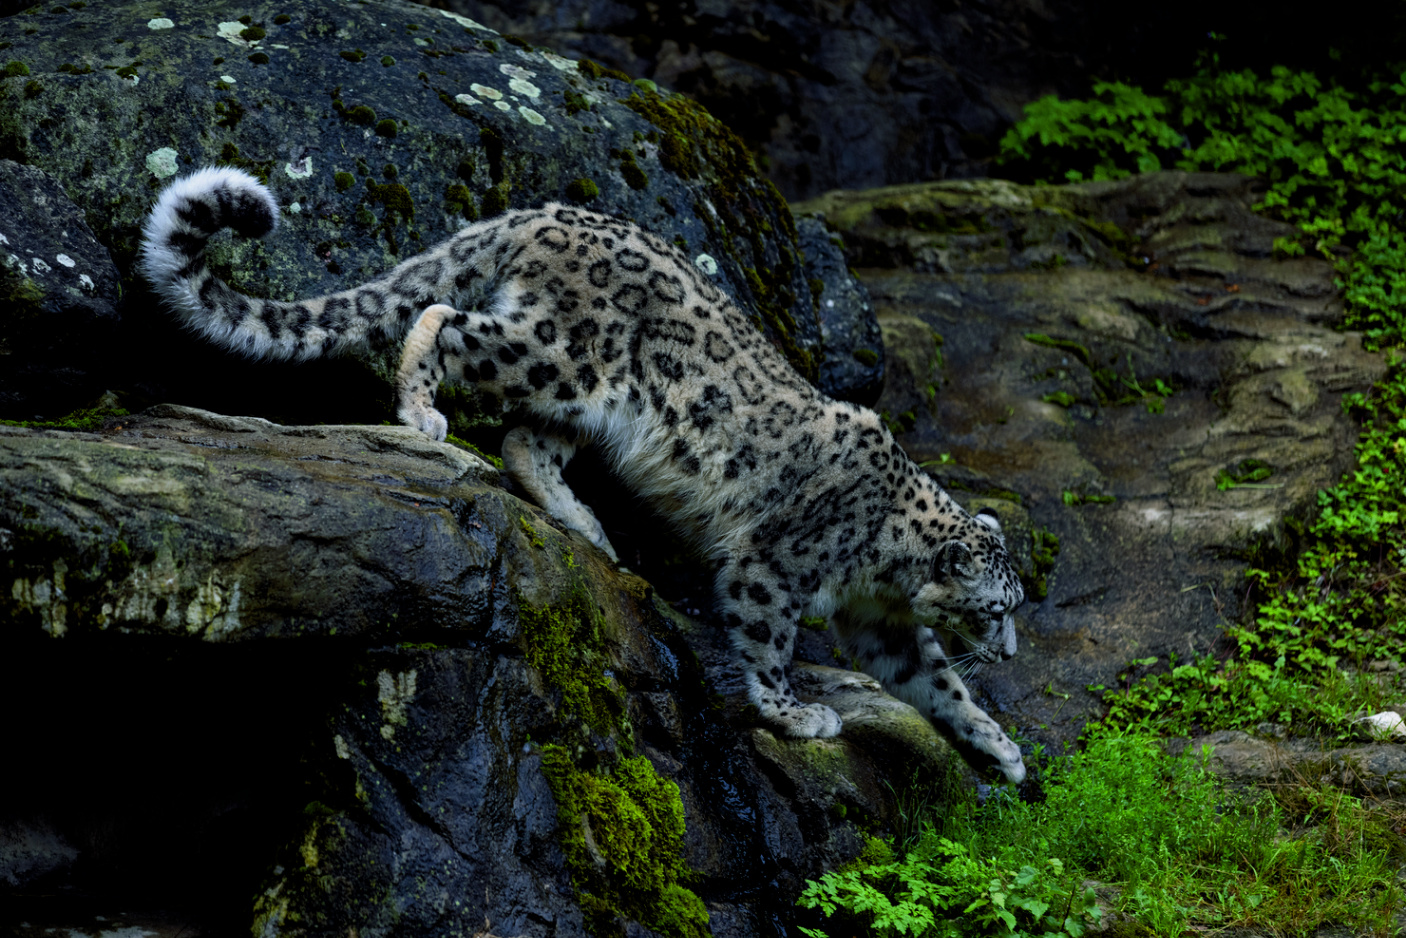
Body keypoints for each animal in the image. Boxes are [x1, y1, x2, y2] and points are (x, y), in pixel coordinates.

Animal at [139, 165, 1028, 783]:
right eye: (993, 611)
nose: (1013, 653)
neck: (886, 567)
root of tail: (541, 213)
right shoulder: (773, 567)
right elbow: (768, 639)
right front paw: (794, 714)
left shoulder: (884, 623)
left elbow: (934, 681)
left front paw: (1000, 747)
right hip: (562, 355)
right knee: (445, 322)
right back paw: (423, 414)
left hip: (586, 398)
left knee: (525, 441)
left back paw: (585, 525)